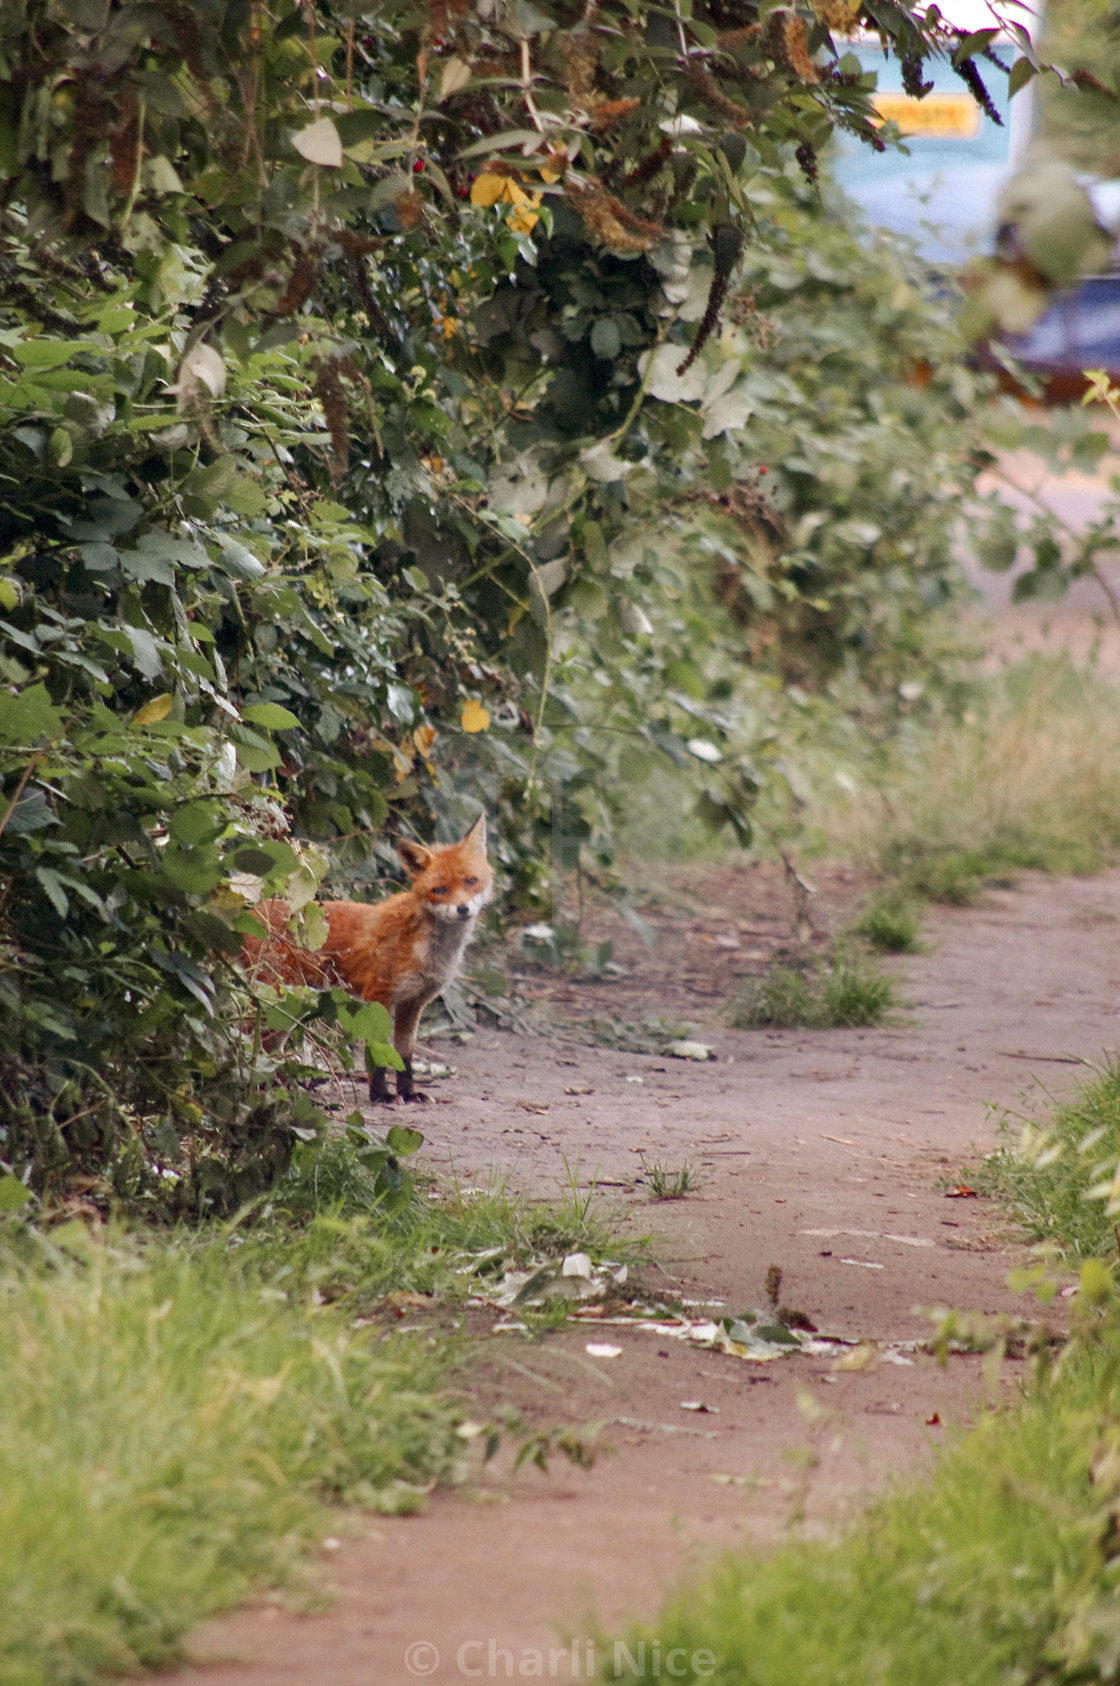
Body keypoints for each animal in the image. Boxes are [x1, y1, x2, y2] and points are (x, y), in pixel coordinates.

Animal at [241, 819, 489, 1106]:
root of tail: (250, 913)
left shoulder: (412, 1004)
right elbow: (378, 1049)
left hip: (288, 1009)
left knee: (267, 1050)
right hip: (273, 1000)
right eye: (439, 890)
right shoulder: (378, 994)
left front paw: (408, 1092)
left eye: (471, 881)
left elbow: (405, 1055)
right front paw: (380, 1094)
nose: (462, 909)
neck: (430, 949)